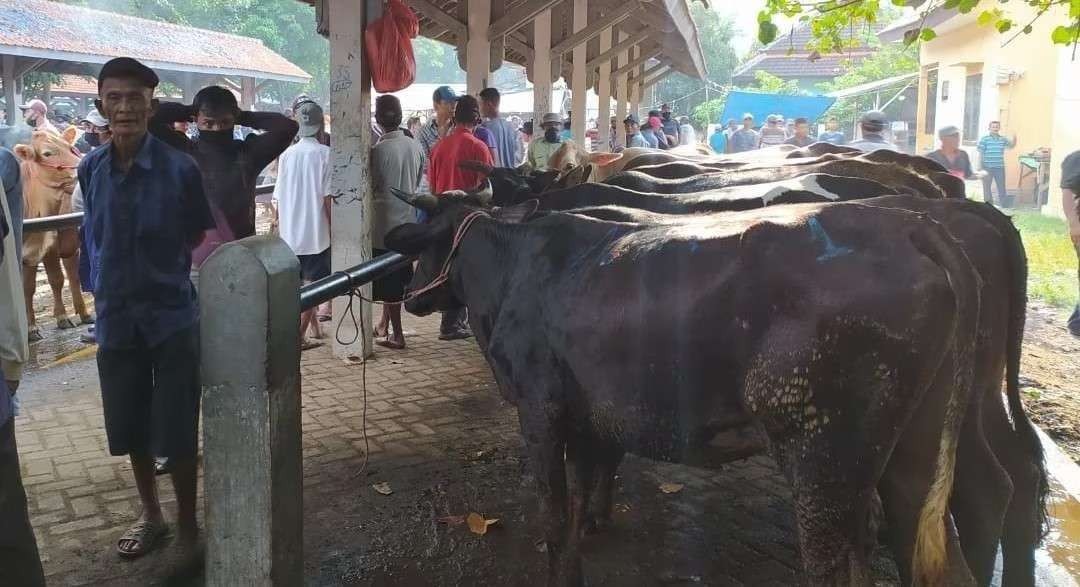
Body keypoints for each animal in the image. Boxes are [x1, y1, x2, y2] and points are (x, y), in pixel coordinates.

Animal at [14, 127, 92, 338]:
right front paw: (31, 328)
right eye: (47, 153)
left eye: (70, 147)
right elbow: (26, 287)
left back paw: (84, 313)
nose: (80, 167)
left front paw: (62, 317)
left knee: (72, 274)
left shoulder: (49, 246)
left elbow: (56, 279)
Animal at [388, 194, 989, 587]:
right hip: (909, 457)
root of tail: (907, 225)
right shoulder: (587, 419)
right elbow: (582, 496)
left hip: (820, 456)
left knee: (834, 563)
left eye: (421, 246)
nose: (410, 294)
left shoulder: (540, 410)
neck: (512, 269)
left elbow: (555, 516)